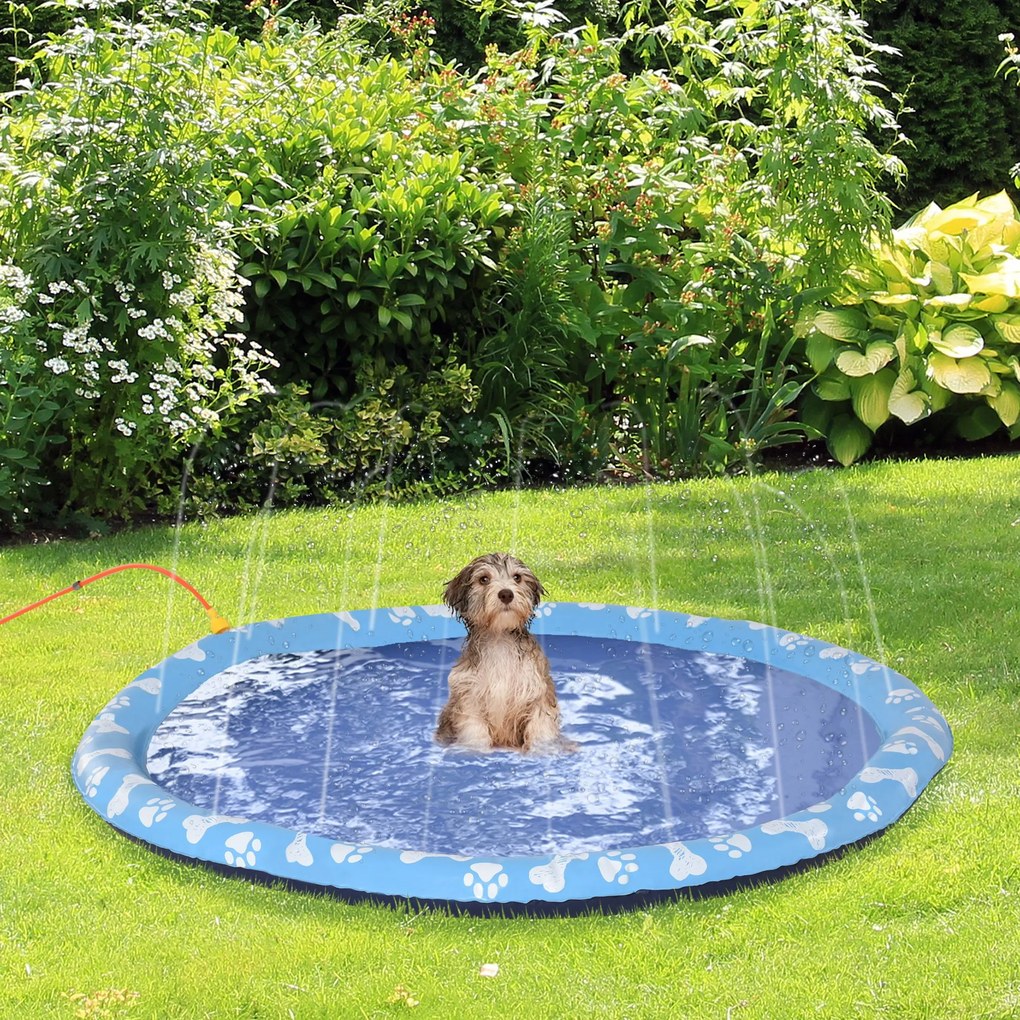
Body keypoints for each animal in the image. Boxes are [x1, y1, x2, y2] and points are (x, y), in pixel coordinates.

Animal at [434, 554, 571, 754]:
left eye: (517, 577)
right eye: (483, 579)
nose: (506, 594)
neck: (500, 640)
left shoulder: (537, 694)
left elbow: (540, 730)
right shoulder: (469, 698)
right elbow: (475, 733)